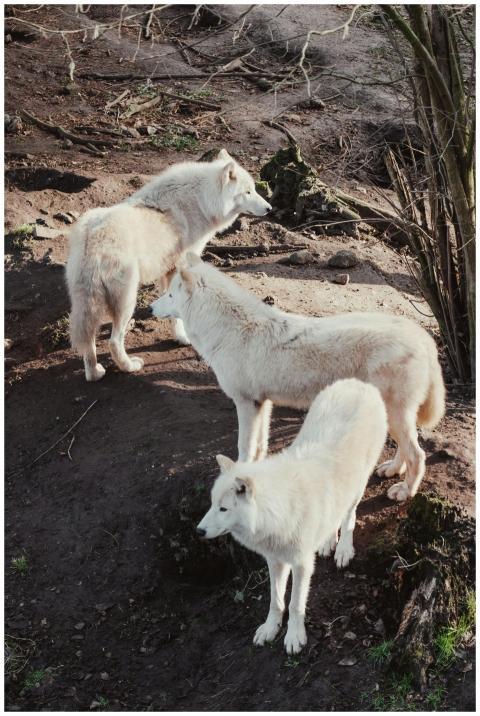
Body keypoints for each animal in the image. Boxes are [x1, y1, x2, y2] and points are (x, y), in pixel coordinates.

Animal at [65, 150, 271, 381]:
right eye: (248, 192)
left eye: (254, 190)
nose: (269, 208)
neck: (201, 202)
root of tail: (93, 237)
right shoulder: (178, 267)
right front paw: (181, 337)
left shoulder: (166, 270)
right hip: (127, 300)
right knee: (114, 341)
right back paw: (130, 366)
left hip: (86, 304)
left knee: (88, 342)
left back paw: (94, 373)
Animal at [151, 253, 445, 502]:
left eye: (170, 294)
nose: (152, 308)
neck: (230, 330)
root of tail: (422, 335)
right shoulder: (262, 403)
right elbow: (260, 445)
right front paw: (255, 469)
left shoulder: (245, 403)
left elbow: (244, 446)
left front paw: (239, 474)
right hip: (394, 415)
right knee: (406, 450)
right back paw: (392, 470)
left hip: (394, 414)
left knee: (418, 455)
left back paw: (405, 491)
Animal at [197, 378, 388, 653]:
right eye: (212, 504)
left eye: (224, 509)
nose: (198, 531)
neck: (278, 512)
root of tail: (359, 383)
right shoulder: (275, 560)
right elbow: (276, 601)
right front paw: (270, 629)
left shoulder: (301, 563)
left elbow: (296, 604)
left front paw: (294, 636)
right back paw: (327, 542)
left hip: (358, 485)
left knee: (349, 515)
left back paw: (343, 549)